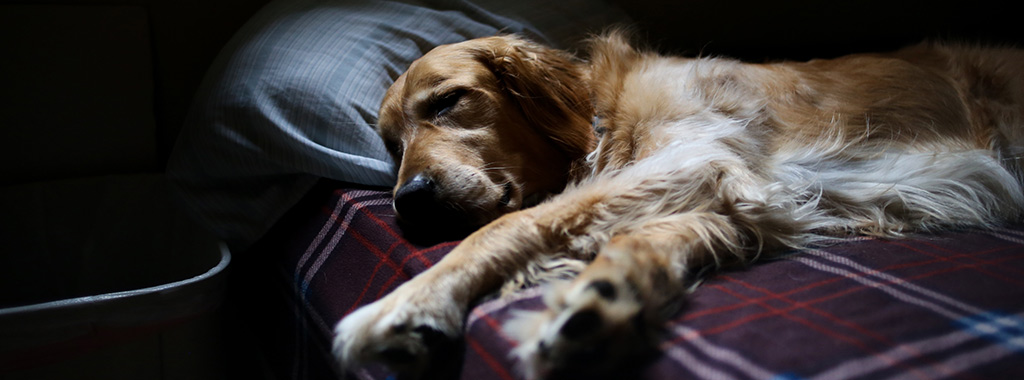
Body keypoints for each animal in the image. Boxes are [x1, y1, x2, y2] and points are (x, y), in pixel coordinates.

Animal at [331, 31, 1019, 378]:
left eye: (448, 102)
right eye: (391, 145)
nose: (409, 202)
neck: (605, 120)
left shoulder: (698, 157)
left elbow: (511, 226)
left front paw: (406, 304)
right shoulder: (738, 201)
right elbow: (643, 240)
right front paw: (602, 300)